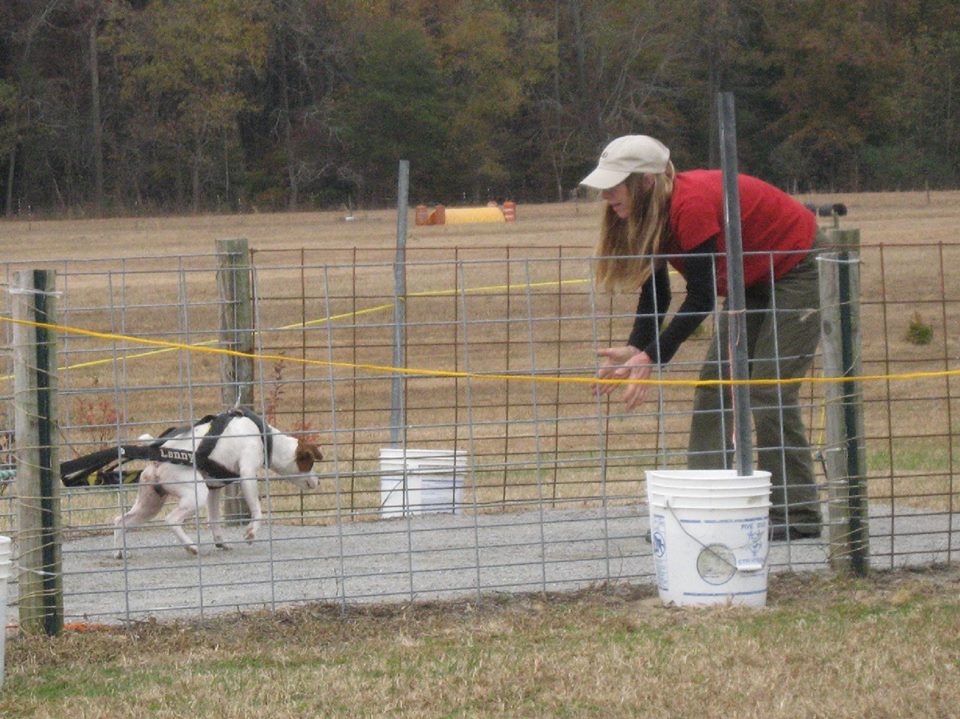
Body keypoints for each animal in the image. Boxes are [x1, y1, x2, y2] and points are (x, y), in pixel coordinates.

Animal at [112, 410, 322, 556]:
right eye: (310, 463)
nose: (318, 482)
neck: (266, 438)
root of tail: (157, 459)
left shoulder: (214, 489)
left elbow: (213, 520)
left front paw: (221, 542)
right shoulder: (247, 474)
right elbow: (258, 511)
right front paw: (251, 532)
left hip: (149, 505)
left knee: (120, 521)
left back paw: (120, 552)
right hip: (195, 495)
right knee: (171, 519)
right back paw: (191, 547)